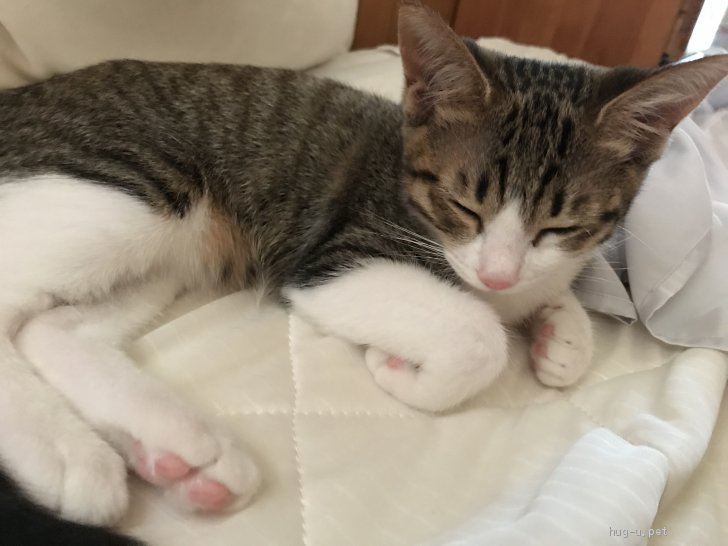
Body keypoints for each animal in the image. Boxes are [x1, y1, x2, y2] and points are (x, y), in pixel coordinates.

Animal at [0, 2, 726, 542]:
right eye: (464, 205)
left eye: (561, 224)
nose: (496, 277)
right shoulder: (335, 256)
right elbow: (476, 336)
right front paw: (403, 369)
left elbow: (552, 297)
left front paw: (561, 337)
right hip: (131, 191)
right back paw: (70, 458)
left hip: (167, 249)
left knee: (52, 330)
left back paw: (183, 453)